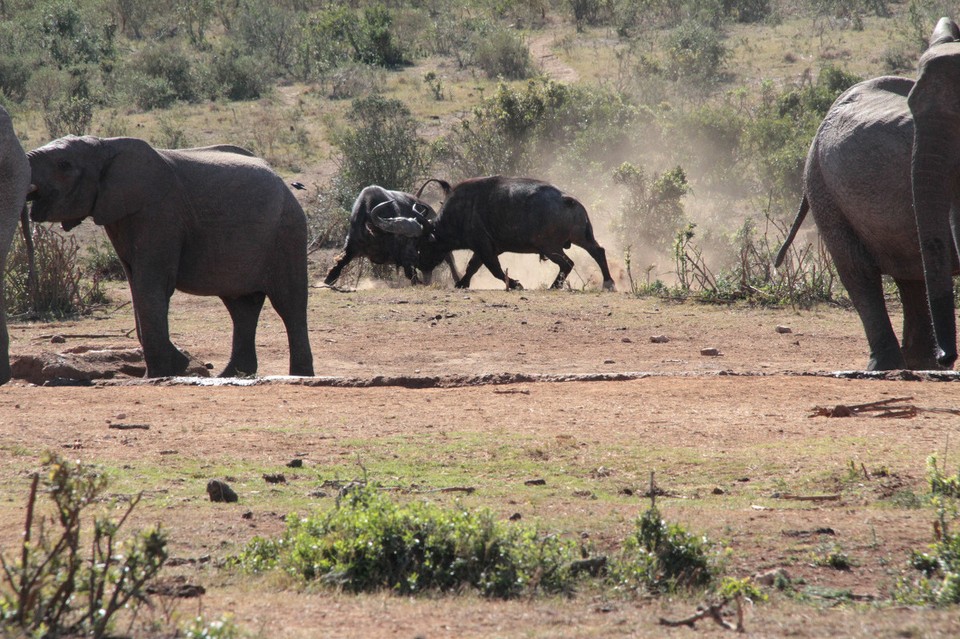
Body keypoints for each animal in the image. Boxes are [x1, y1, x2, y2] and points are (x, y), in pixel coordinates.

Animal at [27, 134, 316, 376]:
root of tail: (280, 178)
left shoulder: (160, 213)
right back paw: (232, 375)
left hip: (287, 230)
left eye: (64, 165)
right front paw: (173, 367)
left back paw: (298, 376)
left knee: (288, 304)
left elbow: (151, 284)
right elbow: (136, 285)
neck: (105, 144)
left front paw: (165, 372)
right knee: (241, 307)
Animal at [326, 184, 462, 286]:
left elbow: (412, 274)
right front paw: (329, 279)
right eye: (400, 238)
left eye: (416, 241)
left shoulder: (406, 260)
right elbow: (340, 263)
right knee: (428, 270)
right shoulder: (353, 246)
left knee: (449, 260)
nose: (414, 257)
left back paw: (457, 279)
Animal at [398, 178, 616, 292]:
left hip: (550, 247)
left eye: (422, 245)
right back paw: (608, 282)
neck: (461, 212)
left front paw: (516, 283)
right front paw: (461, 282)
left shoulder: (485, 247)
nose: (419, 266)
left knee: (568, 263)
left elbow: (494, 269)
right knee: (598, 251)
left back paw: (554, 286)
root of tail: (567, 200)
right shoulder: (486, 248)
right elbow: (472, 267)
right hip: (582, 238)